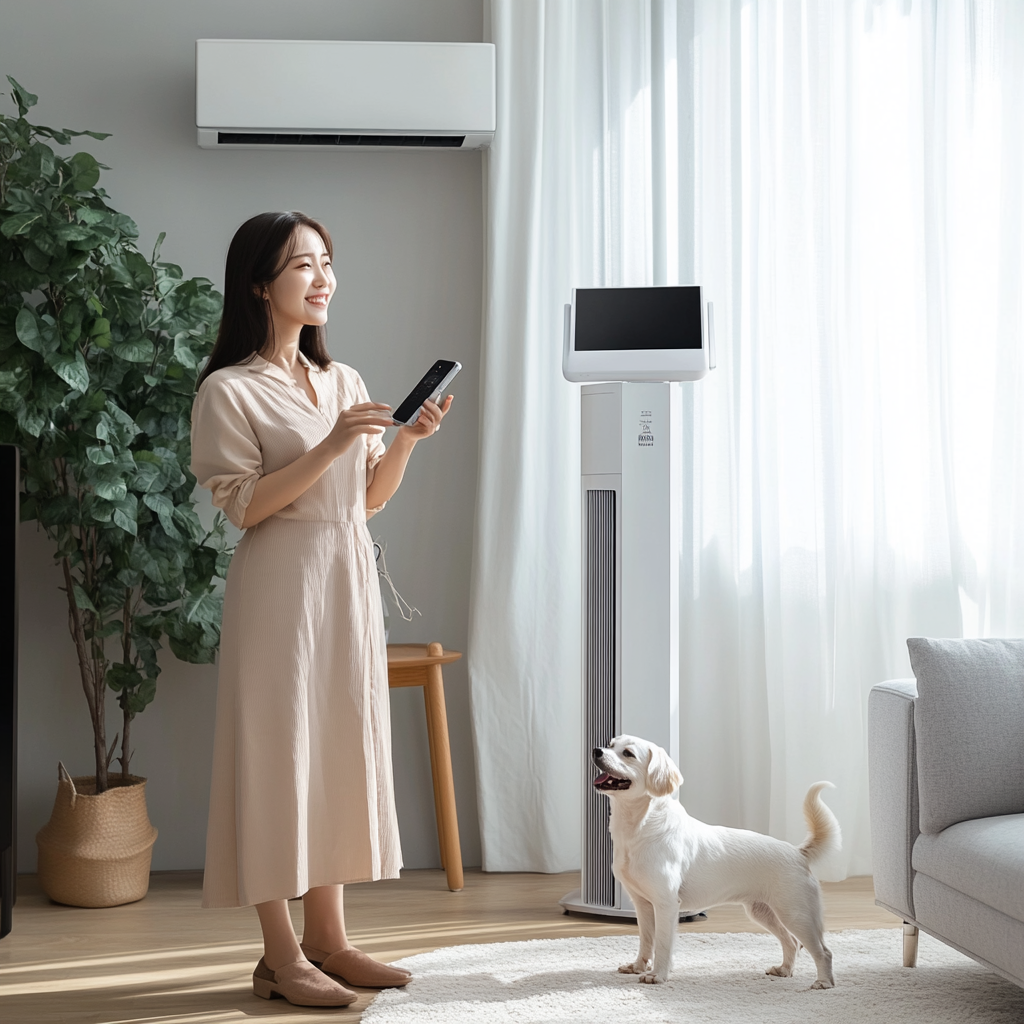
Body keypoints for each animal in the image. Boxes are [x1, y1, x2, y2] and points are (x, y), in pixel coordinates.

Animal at [593, 737, 839, 991]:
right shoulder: (642, 904)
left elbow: (662, 944)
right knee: (791, 942)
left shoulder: (666, 903)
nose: (596, 750)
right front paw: (638, 967)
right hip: (764, 912)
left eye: (628, 753)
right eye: (610, 744)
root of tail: (798, 853)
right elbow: (646, 941)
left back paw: (823, 982)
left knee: (823, 951)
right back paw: (784, 970)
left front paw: (657, 975)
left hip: (795, 914)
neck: (639, 826)